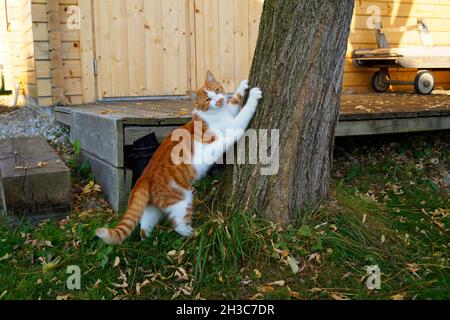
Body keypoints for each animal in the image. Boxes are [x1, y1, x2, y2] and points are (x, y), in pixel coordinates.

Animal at [96, 71, 262, 244]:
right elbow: (241, 118)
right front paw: (253, 97)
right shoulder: (228, 127)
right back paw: (192, 234)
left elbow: (234, 102)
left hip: (152, 209)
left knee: (144, 227)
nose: (218, 100)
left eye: (217, 90)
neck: (215, 113)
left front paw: (242, 87)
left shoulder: (229, 110)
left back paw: (150, 241)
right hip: (182, 200)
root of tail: (145, 176)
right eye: (208, 99)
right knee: (178, 224)